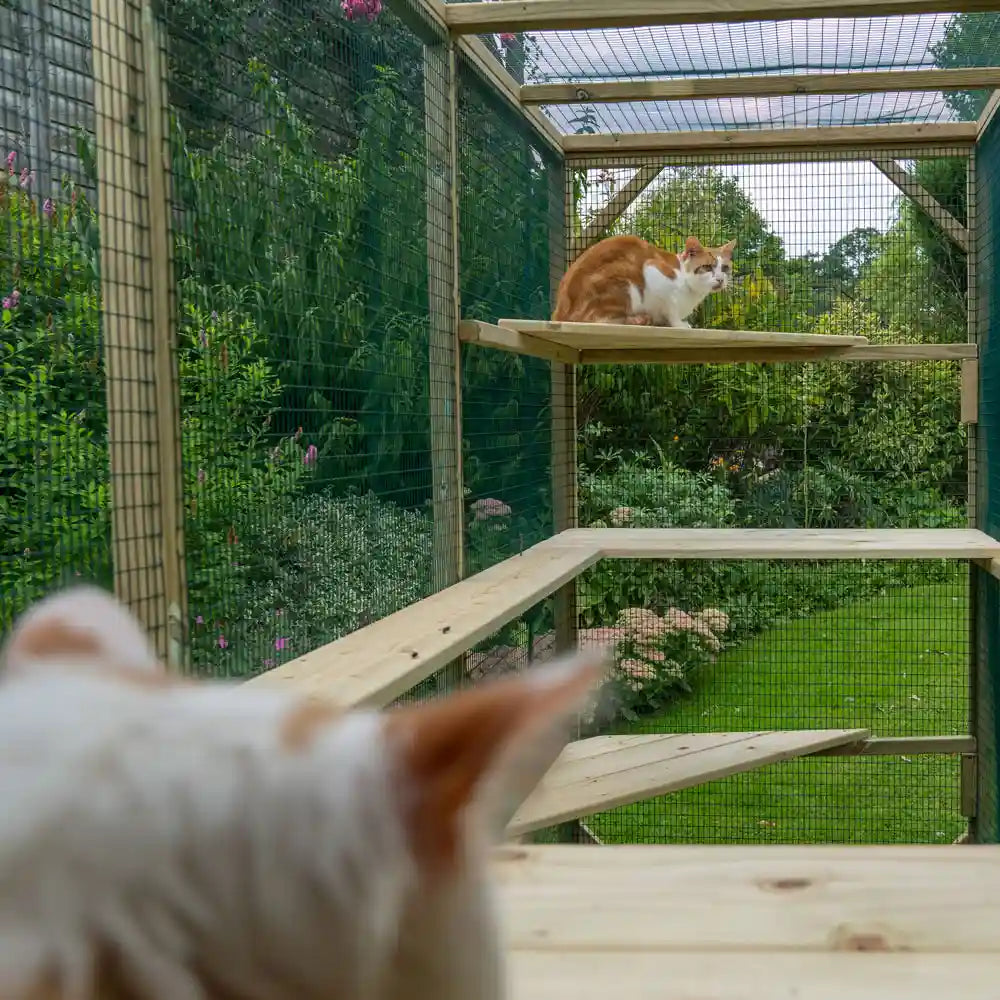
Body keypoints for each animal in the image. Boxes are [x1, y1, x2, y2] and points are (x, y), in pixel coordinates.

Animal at [556, 234, 736, 328]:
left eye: (725, 268)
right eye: (707, 267)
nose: (720, 279)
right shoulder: (653, 270)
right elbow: (671, 308)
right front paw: (678, 324)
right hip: (624, 281)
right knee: (597, 320)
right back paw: (637, 319)